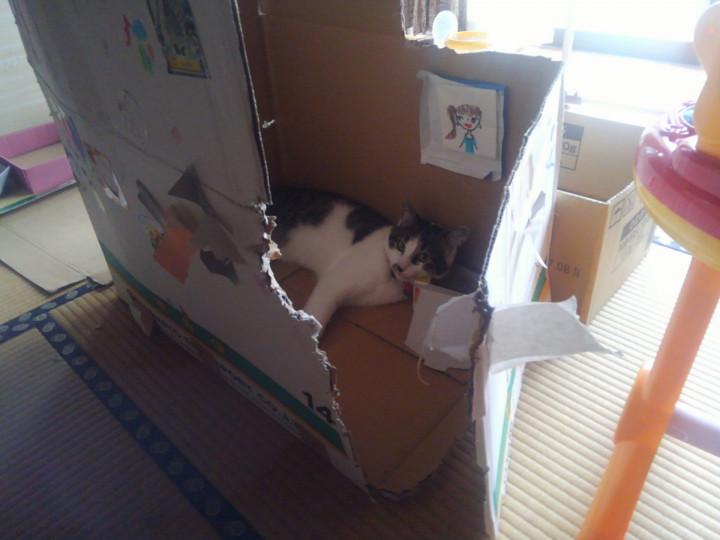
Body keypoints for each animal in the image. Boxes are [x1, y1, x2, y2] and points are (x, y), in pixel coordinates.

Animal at [269, 187, 469, 330]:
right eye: (401, 245)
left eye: (423, 256)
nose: (399, 266)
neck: (390, 276)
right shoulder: (333, 282)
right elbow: (317, 315)